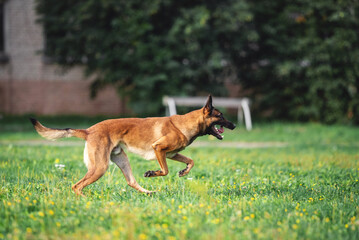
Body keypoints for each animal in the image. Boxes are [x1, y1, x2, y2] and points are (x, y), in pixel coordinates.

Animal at [30, 94, 236, 196]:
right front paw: (152, 172)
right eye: (220, 116)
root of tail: (89, 131)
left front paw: (184, 171)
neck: (185, 124)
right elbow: (165, 170)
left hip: (121, 160)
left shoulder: (171, 154)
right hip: (100, 167)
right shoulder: (158, 149)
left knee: (131, 181)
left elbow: (191, 161)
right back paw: (85, 200)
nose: (234, 125)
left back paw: (149, 193)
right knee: (76, 186)